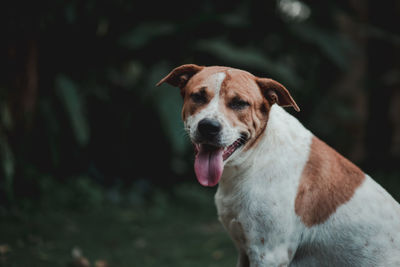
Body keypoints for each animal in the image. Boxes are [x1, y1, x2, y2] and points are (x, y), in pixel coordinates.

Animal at [156, 63, 400, 266]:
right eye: (198, 96)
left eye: (239, 103)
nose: (208, 127)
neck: (251, 161)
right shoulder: (245, 250)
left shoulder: (269, 253)